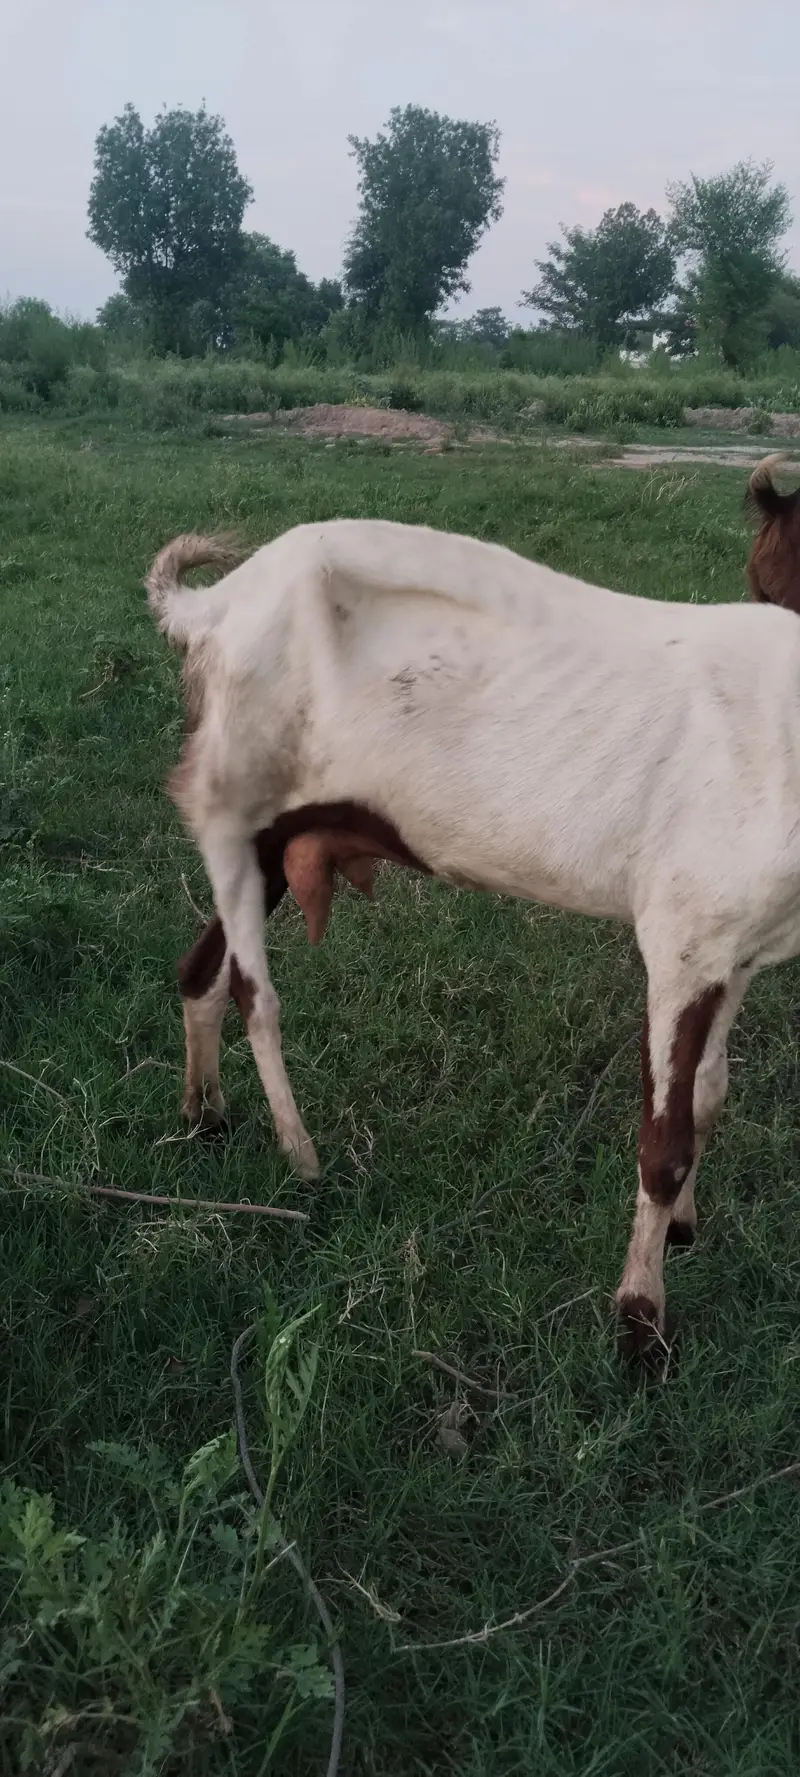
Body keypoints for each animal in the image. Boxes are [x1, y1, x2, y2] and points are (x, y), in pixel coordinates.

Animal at [147, 516, 800, 1358]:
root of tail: (213, 605)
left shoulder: (736, 946)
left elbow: (710, 1096)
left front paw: (684, 1228)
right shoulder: (683, 936)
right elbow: (665, 1141)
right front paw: (639, 1320)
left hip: (275, 835)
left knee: (201, 969)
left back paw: (205, 1114)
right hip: (233, 797)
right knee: (255, 992)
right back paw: (301, 1155)